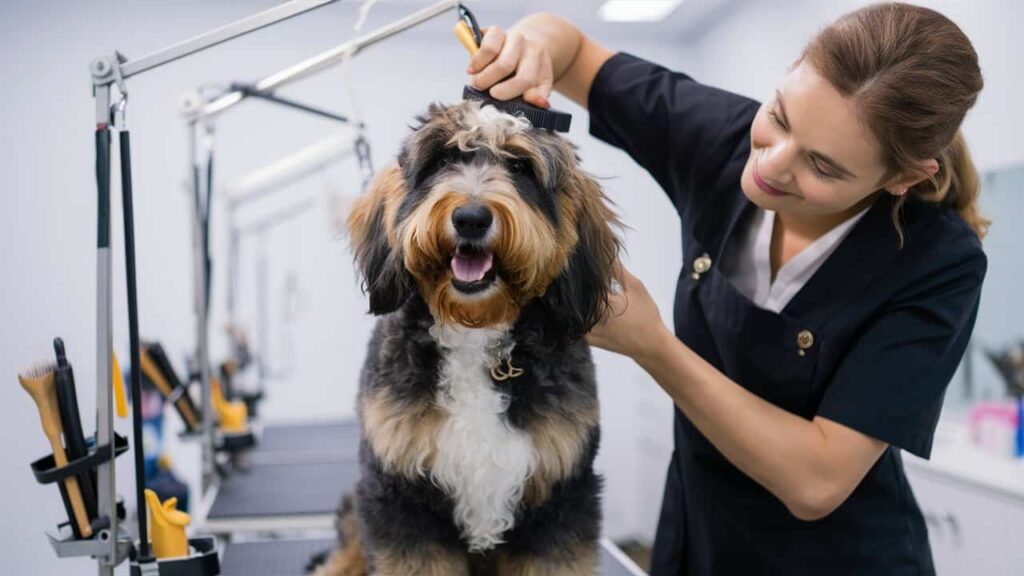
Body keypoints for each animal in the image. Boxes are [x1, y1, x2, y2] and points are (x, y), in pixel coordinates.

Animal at [319, 100, 622, 569]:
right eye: (443, 160)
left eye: (520, 167)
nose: (471, 218)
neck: (473, 331)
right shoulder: (400, 501)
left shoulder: (561, 499)